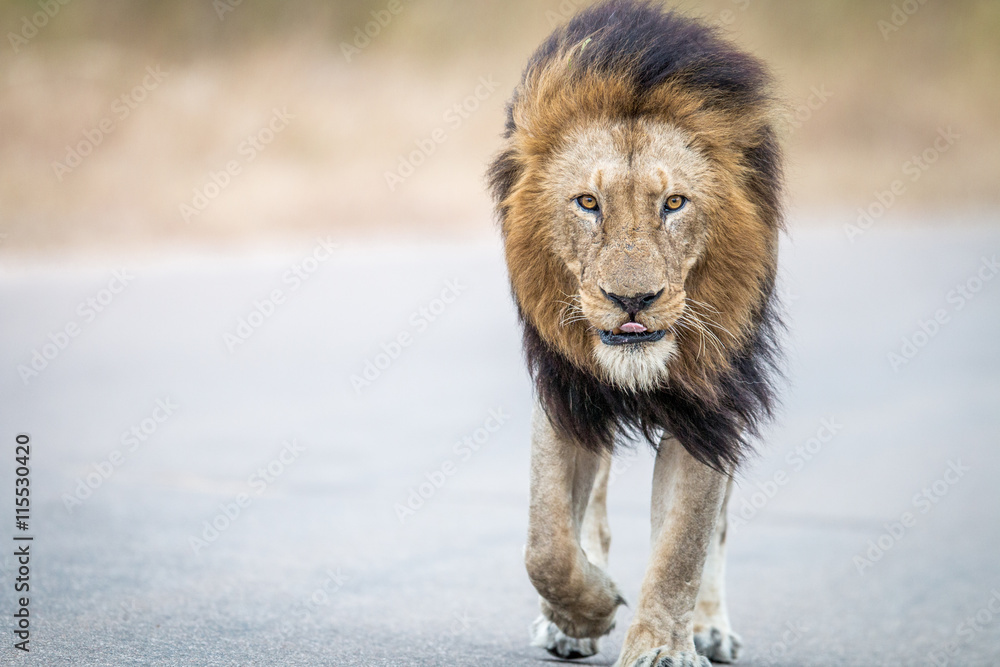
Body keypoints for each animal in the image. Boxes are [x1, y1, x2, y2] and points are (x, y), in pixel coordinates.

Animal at [487, 2, 784, 665]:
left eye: (673, 203)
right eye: (587, 202)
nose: (632, 301)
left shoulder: (709, 408)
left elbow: (683, 545)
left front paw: (662, 647)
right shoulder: (565, 390)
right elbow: (545, 545)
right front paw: (584, 612)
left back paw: (710, 628)